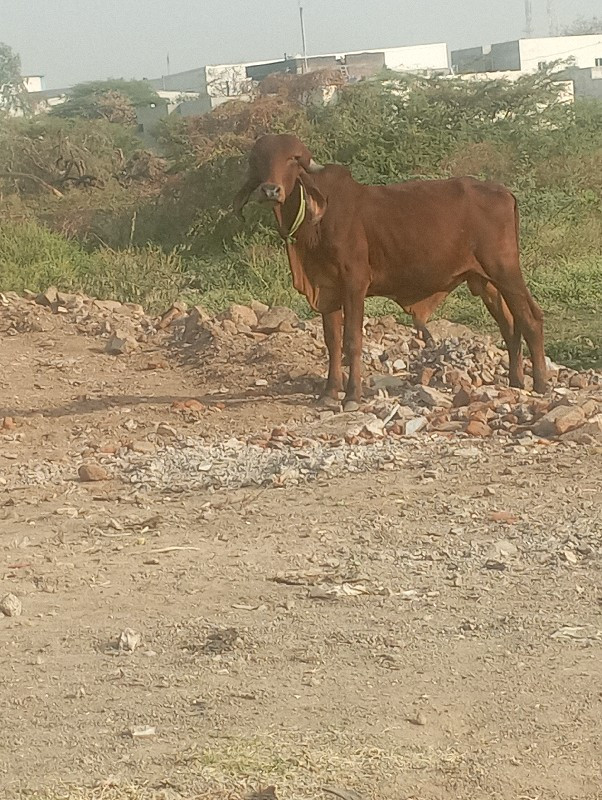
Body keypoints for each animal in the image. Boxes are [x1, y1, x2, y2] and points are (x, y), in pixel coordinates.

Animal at [233, 134, 544, 410]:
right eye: (260, 160)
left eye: (292, 159)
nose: (270, 190)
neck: (315, 222)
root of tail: (504, 192)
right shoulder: (326, 288)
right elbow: (332, 342)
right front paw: (329, 393)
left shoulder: (354, 283)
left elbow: (352, 340)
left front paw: (352, 396)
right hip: (484, 280)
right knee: (509, 324)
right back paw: (516, 380)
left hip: (505, 270)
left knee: (530, 318)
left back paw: (540, 383)